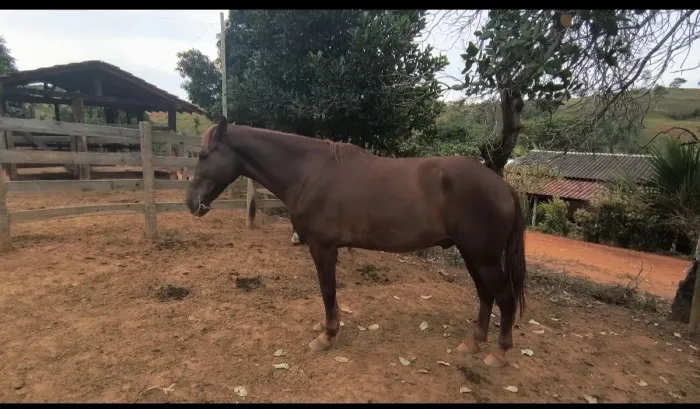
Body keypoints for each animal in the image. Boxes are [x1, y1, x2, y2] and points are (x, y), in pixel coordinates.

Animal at [185, 117, 527, 368]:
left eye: (203, 155)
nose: (191, 202)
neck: (309, 173)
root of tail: (503, 185)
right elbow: (332, 293)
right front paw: (330, 327)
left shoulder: (322, 247)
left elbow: (327, 289)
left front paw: (327, 336)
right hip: (472, 255)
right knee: (485, 295)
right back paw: (473, 342)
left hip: (483, 257)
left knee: (504, 297)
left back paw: (499, 353)